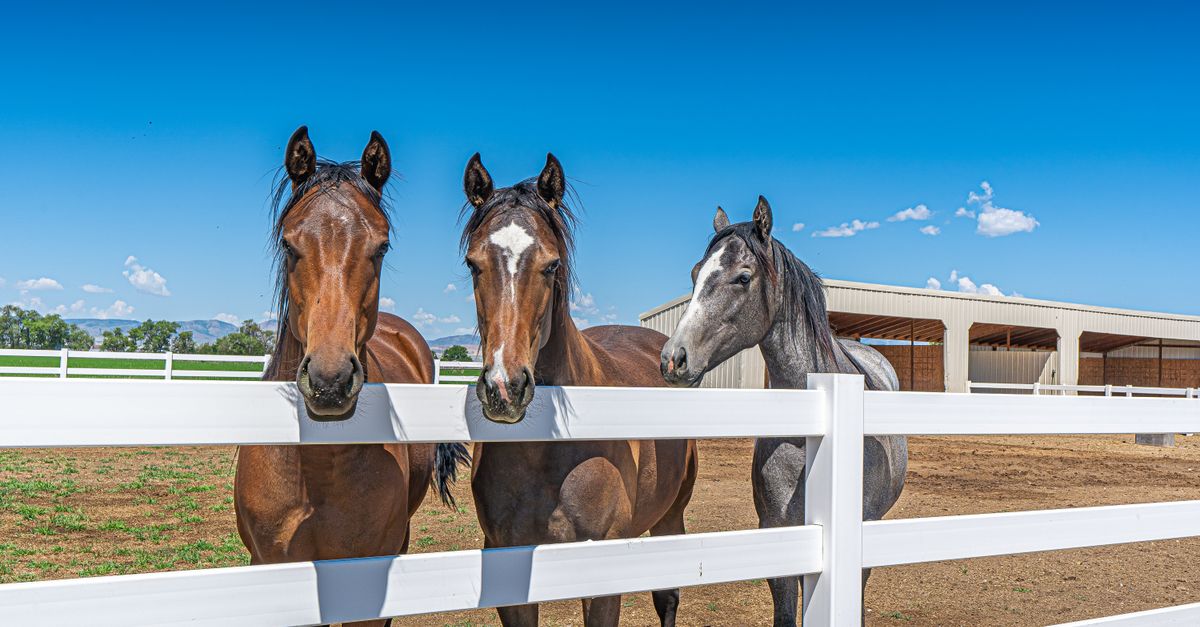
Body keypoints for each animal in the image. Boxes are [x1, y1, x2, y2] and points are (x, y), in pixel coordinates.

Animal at [459, 153, 699, 627]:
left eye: (551, 265)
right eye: (473, 264)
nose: (504, 387)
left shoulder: (601, 576)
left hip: (671, 515)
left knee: (667, 597)